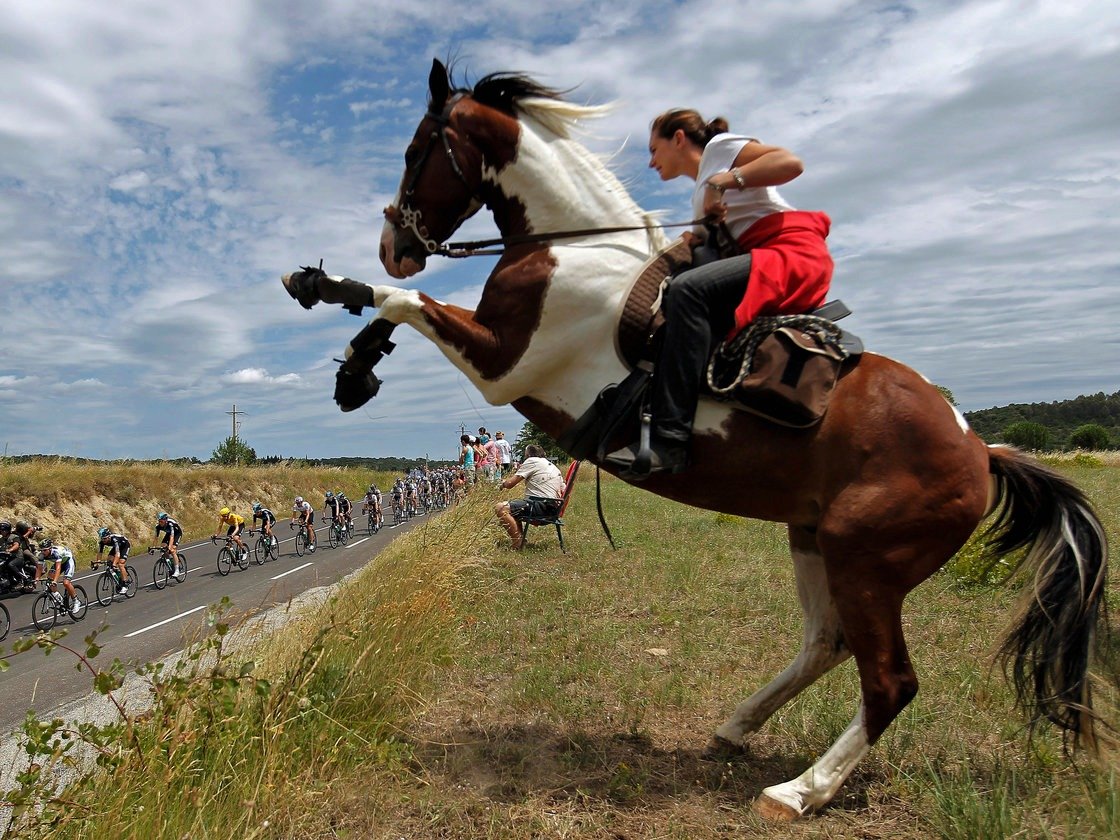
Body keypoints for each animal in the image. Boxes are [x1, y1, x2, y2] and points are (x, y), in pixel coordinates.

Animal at [282, 60, 1111, 824]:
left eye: (417, 148)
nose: (393, 242)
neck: (572, 249)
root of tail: (981, 453)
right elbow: (398, 306)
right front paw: (352, 359)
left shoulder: (502, 362)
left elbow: (405, 300)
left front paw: (336, 308)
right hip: (815, 538)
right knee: (825, 643)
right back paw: (737, 726)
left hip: (867, 556)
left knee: (889, 683)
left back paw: (799, 791)